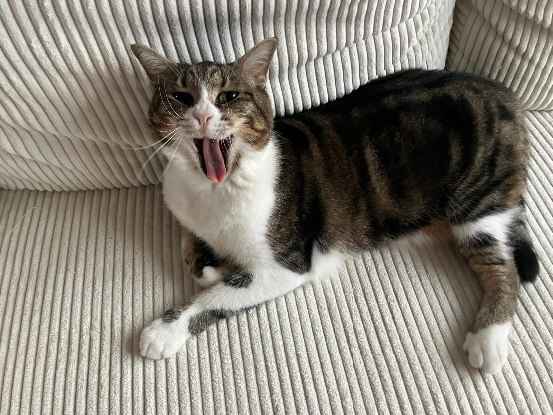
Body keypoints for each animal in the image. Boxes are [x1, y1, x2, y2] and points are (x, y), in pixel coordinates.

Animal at [131, 38, 539, 374]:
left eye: (228, 96)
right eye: (182, 98)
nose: (202, 115)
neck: (212, 189)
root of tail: (506, 94)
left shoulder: (286, 265)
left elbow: (214, 297)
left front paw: (165, 330)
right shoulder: (186, 216)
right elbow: (192, 258)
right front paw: (214, 267)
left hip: (476, 203)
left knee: (504, 267)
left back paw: (488, 339)